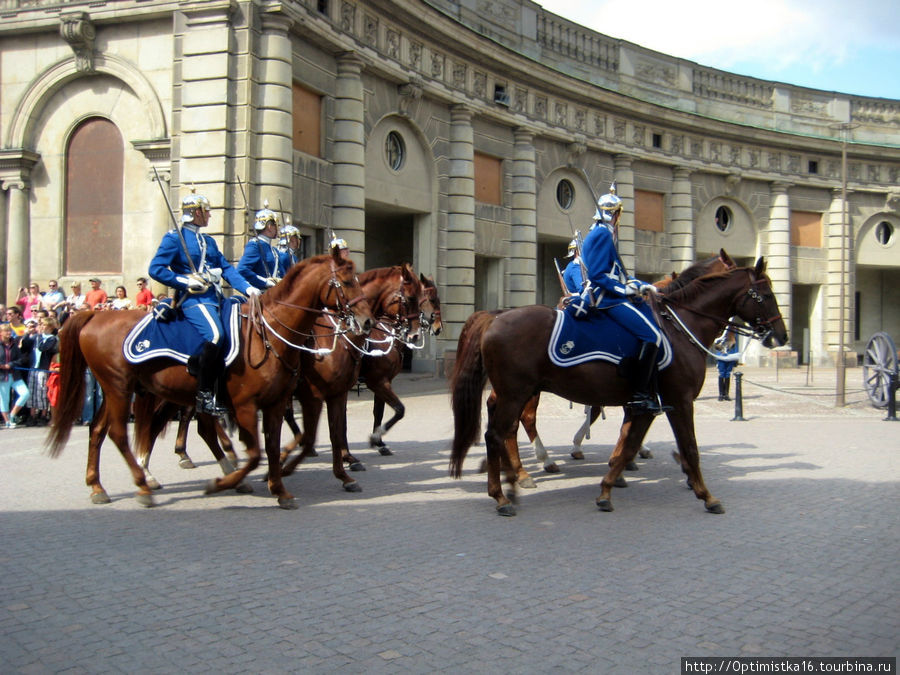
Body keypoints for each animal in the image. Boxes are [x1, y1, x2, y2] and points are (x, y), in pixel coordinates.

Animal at [46, 251, 372, 510]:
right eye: (346, 282)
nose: (367, 322)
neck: (271, 334)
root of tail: (94, 316)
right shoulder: (252, 404)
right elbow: (260, 452)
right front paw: (225, 483)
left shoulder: (282, 402)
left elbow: (285, 443)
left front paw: (281, 487)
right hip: (121, 389)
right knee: (122, 432)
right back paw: (144, 484)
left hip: (127, 389)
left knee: (101, 430)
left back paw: (99, 486)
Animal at [450, 256, 788, 516]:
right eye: (767, 294)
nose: (781, 336)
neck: (679, 326)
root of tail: (496, 316)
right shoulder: (679, 401)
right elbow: (689, 448)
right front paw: (706, 495)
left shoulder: (644, 406)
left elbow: (627, 446)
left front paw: (608, 489)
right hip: (517, 393)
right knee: (499, 432)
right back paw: (505, 492)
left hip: (515, 393)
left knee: (504, 428)